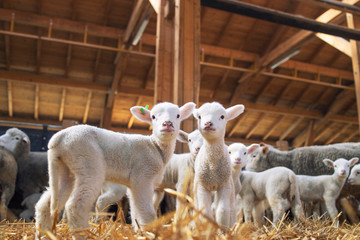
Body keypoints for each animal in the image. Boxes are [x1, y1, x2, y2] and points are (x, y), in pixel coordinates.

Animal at [34, 101, 195, 236]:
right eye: (153, 116)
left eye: (178, 115)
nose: (167, 124)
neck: (155, 146)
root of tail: (58, 138)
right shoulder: (142, 177)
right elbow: (146, 211)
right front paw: (150, 232)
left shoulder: (134, 185)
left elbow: (135, 210)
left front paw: (139, 230)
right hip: (88, 163)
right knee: (75, 205)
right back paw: (82, 234)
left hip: (65, 169)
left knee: (45, 204)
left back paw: (43, 234)